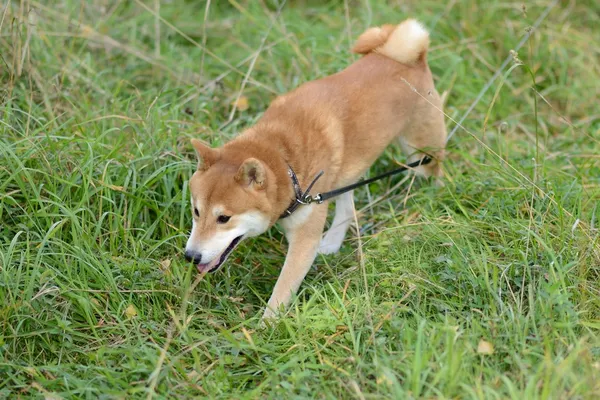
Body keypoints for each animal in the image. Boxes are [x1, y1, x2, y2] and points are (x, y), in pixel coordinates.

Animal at [185, 18, 448, 320]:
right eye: (196, 212)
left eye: (224, 218)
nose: (190, 256)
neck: (285, 160)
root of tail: (409, 57)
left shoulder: (304, 239)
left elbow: (281, 292)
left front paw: (265, 327)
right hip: (346, 172)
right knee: (346, 207)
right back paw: (333, 241)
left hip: (421, 154)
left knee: (435, 173)